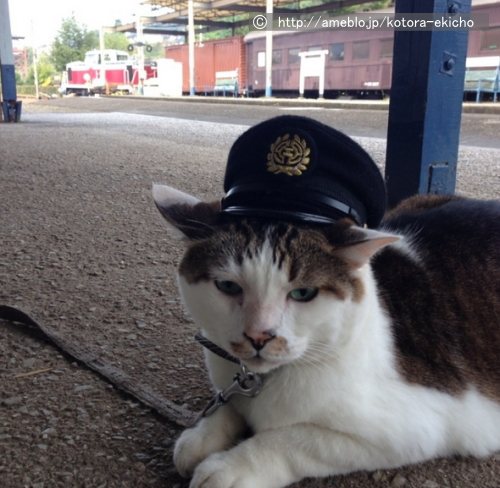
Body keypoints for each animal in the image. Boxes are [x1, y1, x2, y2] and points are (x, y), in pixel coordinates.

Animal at [153, 187, 500, 488]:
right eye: (227, 286)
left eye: (303, 293)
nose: (258, 335)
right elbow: (226, 402)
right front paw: (202, 435)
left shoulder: (418, 426)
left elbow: (294, 440)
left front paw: (230, 467)